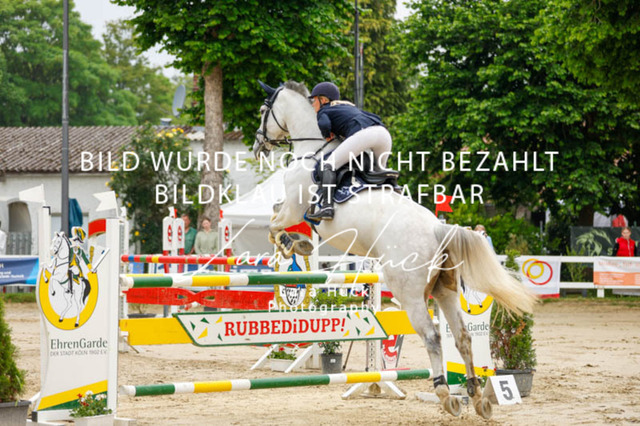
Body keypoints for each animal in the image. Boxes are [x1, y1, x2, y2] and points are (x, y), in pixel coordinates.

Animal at [252, 81, 537, 419]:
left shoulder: (295, 209)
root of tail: (438, 229)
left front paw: (291, 244)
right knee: (463, 336)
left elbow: (273, 222)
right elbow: (276, 217)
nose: (258, 145)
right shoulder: (294, 210)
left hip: (409, 292)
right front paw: (300, 244)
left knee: (433, 336)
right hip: (444, 289)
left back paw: (446, 394)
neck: (312, 149)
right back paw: (476, 397)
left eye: (263, 110)